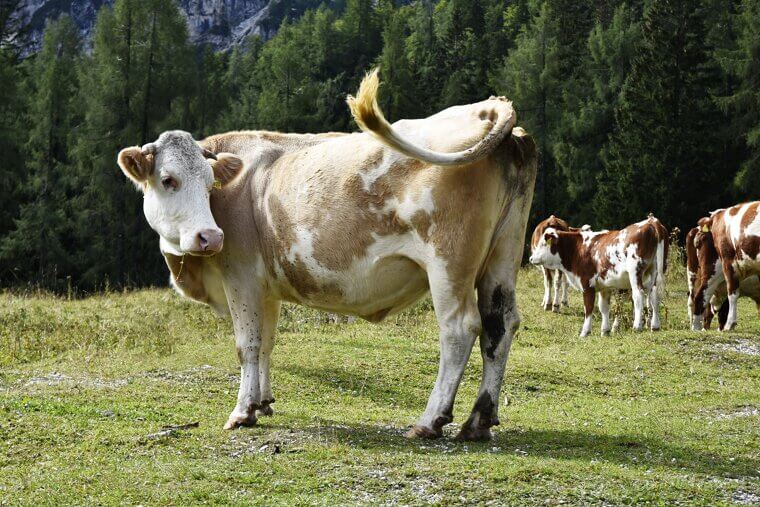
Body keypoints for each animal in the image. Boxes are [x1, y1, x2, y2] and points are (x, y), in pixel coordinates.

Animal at [115, 69, 537, 441]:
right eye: (168, 180)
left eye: (208, 183)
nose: (210, 236)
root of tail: (485, 109)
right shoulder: (266, 288)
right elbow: (267, 341)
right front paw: (263, 402)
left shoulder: (241, 278)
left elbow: (247, 345)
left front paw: (242, 411)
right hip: (503, 253)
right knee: (500, 326)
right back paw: (478, 421)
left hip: (448, 263)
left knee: (459, 329)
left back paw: (430, 421)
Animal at [529, 217, 668, 337]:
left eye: (543, 244)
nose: (530, 258)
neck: (579, 248)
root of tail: (651, 222)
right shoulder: (604, 287)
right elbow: (604, 308)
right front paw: (605, 331)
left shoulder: (587, 284)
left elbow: (588, 308)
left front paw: (585, 331)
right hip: (654, 273)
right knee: (654, 296)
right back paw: (655, 326)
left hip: (635, 272)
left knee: (639, 295)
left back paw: (637, 326)